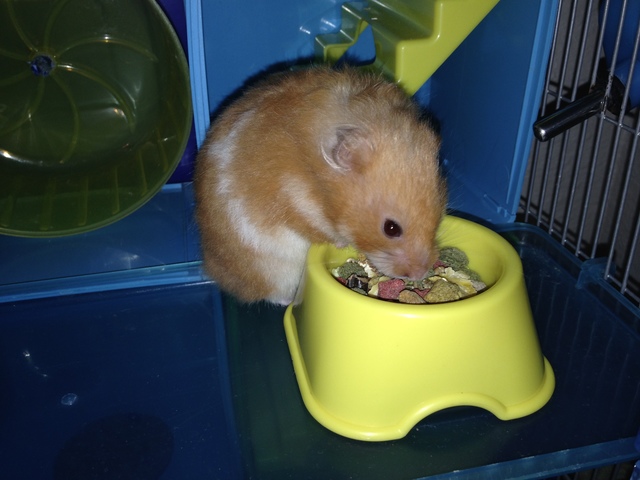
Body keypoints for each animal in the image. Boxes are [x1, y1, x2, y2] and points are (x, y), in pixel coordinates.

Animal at [194, 66, 447, 305]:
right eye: (391, 228)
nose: (419, 273)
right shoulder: (296, 204)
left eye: (439, 214)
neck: (317, 184)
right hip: (272, 271)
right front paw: (341, 243)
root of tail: (211, 269)